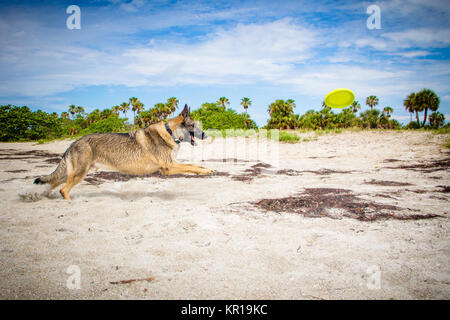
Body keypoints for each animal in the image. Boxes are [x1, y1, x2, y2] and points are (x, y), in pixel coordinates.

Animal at [33, 105, 213, 200]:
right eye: (194, 126)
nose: (206, 135)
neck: (170, 132)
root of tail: (73, 142)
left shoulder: (171, 165)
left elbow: (193, 165)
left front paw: (206, 169)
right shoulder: (168, 167)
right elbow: (191, 166)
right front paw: (205, 171)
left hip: (71, 173)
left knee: (53, 184)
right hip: (79, 173)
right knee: (63, 190)